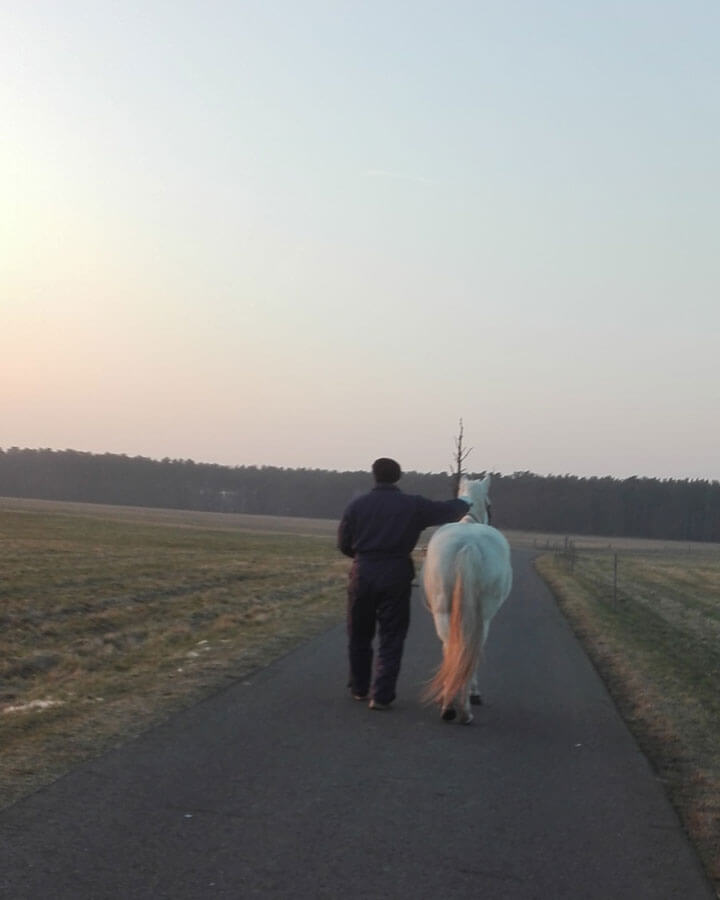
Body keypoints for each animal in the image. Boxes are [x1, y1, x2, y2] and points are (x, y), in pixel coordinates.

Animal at [420, 478, 516, 724]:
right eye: (490, 504)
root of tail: (468, 544)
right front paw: (474, 693)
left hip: (444, 613)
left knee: (452, 646)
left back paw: (450, 705)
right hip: (483, 617)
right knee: (468, 647)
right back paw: (462, 707)